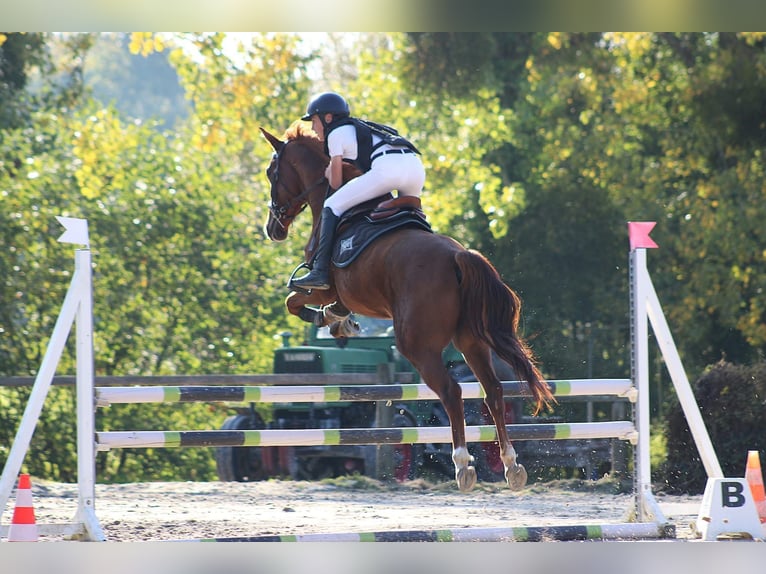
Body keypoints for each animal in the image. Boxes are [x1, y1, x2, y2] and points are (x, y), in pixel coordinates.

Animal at [260, 122, 554, 492]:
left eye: (272, 173)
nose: (272, 229)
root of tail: (458, 256)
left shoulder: (323, 286)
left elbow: (295, 300)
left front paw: (329, 319)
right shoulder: (345, 295)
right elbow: (321, 307)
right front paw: (340, 322)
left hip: (417, 345)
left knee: (452, 392)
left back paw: (463, 466)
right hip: (470, 341)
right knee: (493, 391)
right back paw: (511, 465)